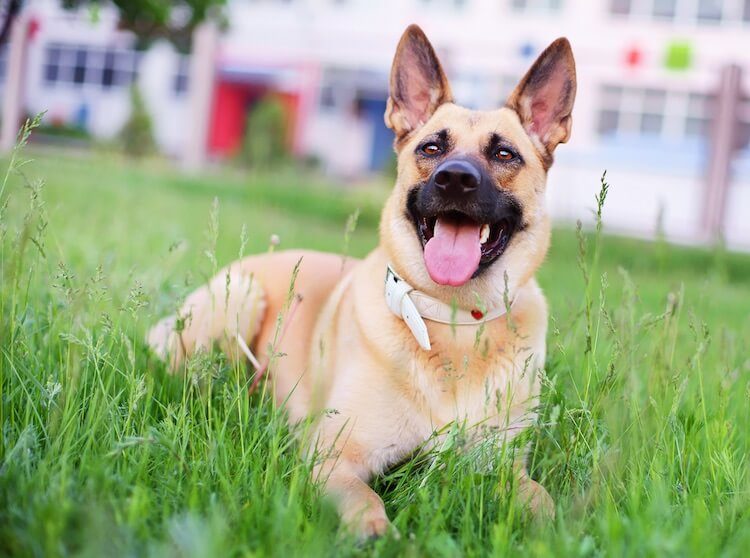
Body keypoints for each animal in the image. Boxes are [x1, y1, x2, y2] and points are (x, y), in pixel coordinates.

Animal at [150, 24, 580, 540]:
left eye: (503, 153)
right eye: (432, 148)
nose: (455, 179)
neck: (455, 322)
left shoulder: (501, 467)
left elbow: (543, 502)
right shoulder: (334, 457)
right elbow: (365, 499)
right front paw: (377, 533)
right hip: (240, 303)